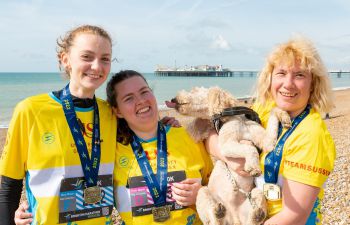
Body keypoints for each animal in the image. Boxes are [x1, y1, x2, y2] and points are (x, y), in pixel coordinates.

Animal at [168, 86, 292, 225]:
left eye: (194, 90)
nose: (173, 99)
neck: (236, 117)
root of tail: (234, 219)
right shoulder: (226, 145)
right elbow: (250, 148)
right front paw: (253, 167)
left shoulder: (267, 142)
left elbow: (273, 111)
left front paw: (284, 116)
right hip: (203, 192)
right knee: (214, 221)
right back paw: (218, 213)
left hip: (256, 193)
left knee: (251, 221)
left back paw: (257, 215)